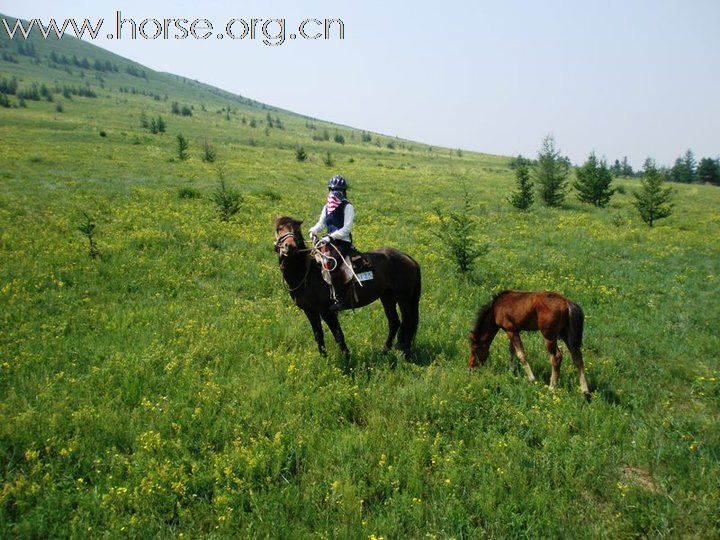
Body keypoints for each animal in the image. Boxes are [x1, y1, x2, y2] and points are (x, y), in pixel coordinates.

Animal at [276, 215, 422, 358]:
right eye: (278, 229)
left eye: (296, 230)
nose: (289, 246)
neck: (306, 272)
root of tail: (407, 258)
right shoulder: (310, 311)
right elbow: (318, 335)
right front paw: (324, 359)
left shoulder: (327, 311)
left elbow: (338, 335)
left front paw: (347, 359)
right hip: (387, 297)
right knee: (394, 322)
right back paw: (385, 351)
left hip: (403, 298)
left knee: (407, 321)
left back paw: (406, 353)